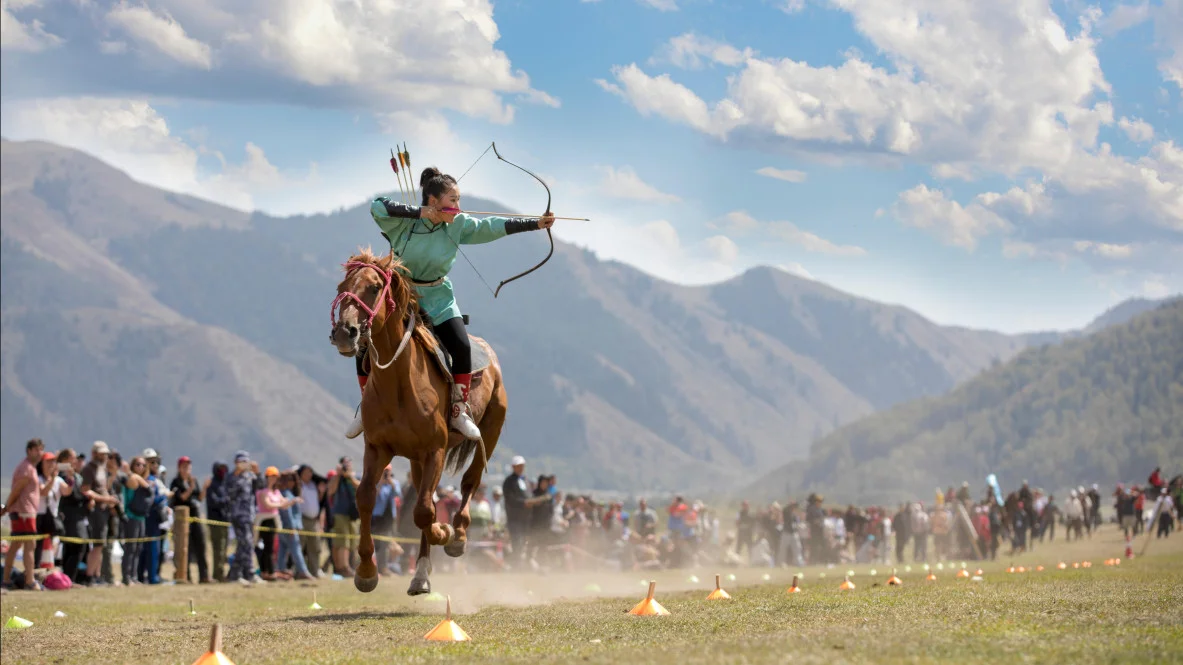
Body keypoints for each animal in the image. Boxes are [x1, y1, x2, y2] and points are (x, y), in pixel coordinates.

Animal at [328, 248, 508, 596]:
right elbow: (366, 498)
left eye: (374, 288)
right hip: (415, 460)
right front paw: (366, 571)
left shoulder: (434, 449)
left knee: (469, 482)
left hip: (490, 430)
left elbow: (425, 511)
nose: (345, 332)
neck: (399, 383)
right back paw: (421, 574)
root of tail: (489, 356)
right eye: (341, 286)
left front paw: (445, 533)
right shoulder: (378, 448)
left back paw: (458, 536)